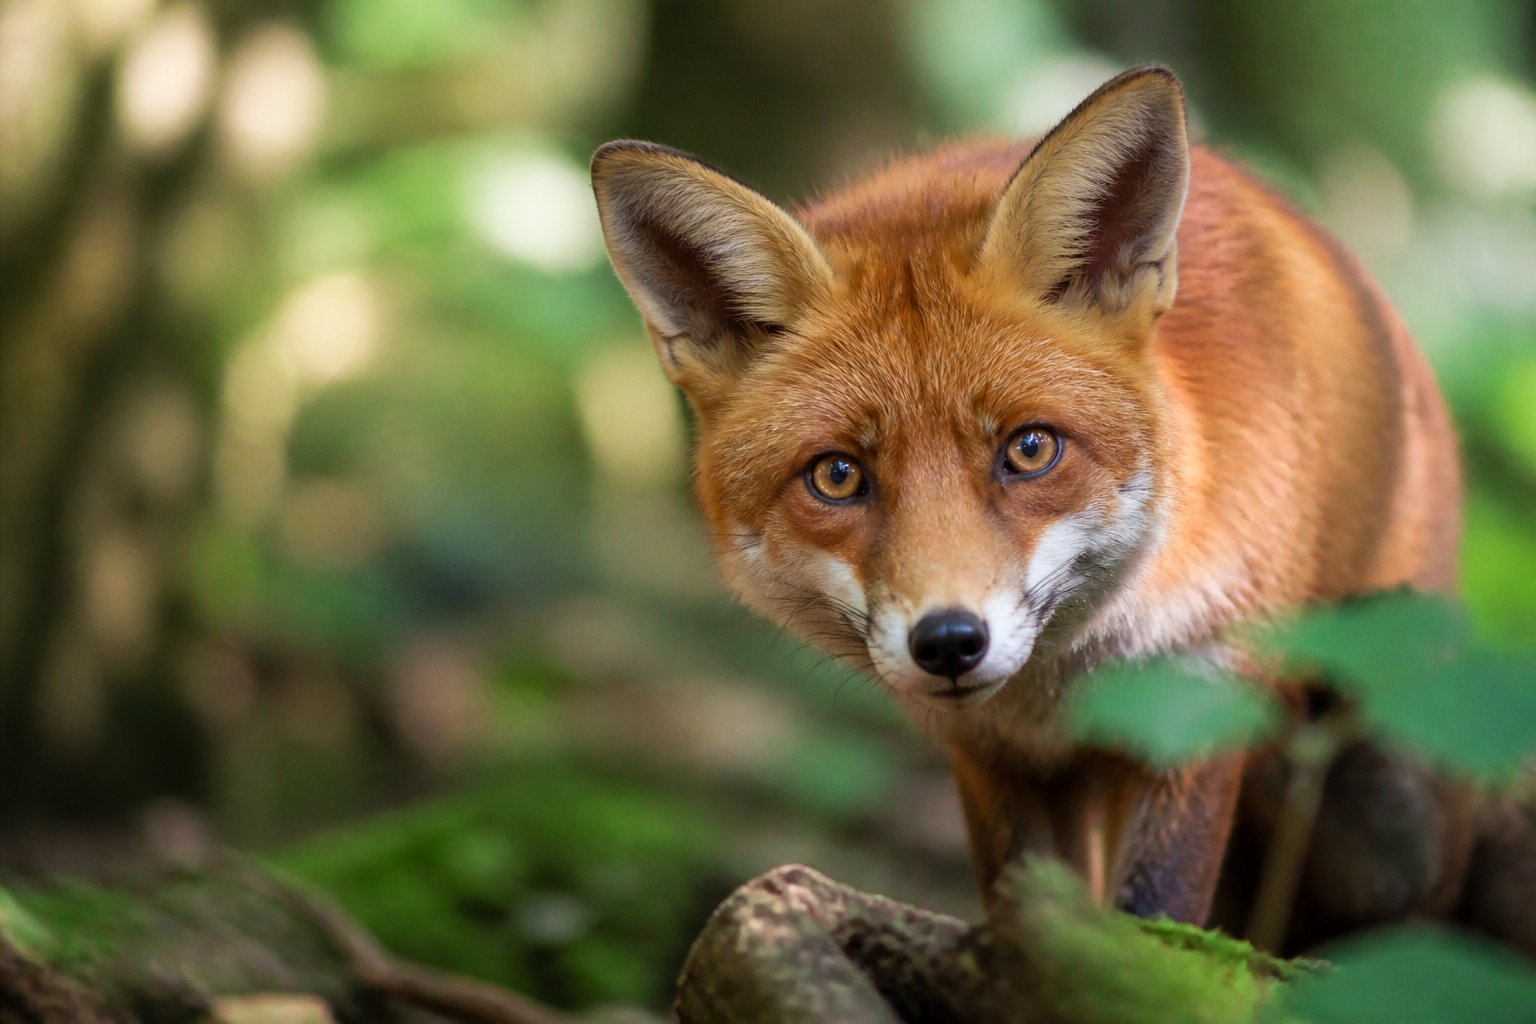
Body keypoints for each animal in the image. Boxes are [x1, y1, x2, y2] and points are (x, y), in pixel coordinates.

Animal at [590, 66, 1491, 949]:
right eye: (838, 475)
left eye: (1029, 450)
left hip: (1387, 815)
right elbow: (1038, 922)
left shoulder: (1197, 697)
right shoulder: (994, 760)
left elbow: (1151, 925)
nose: (949, 642)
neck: (1064, 688)